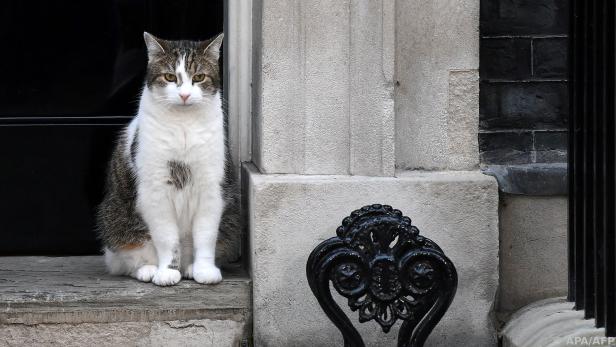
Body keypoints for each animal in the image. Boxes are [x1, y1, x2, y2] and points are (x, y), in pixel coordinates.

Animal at [97, 33, 238, 288]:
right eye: (170, 77)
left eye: (199, 77)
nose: (184, 95)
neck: (183, 126)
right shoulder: (156, 192)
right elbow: (167, 239)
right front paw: (167, 272)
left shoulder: (211, 189)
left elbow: (206, 236)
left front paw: (204, 270)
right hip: (116, 220)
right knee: (125, 261)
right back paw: (148, 270)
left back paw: (190, 268)